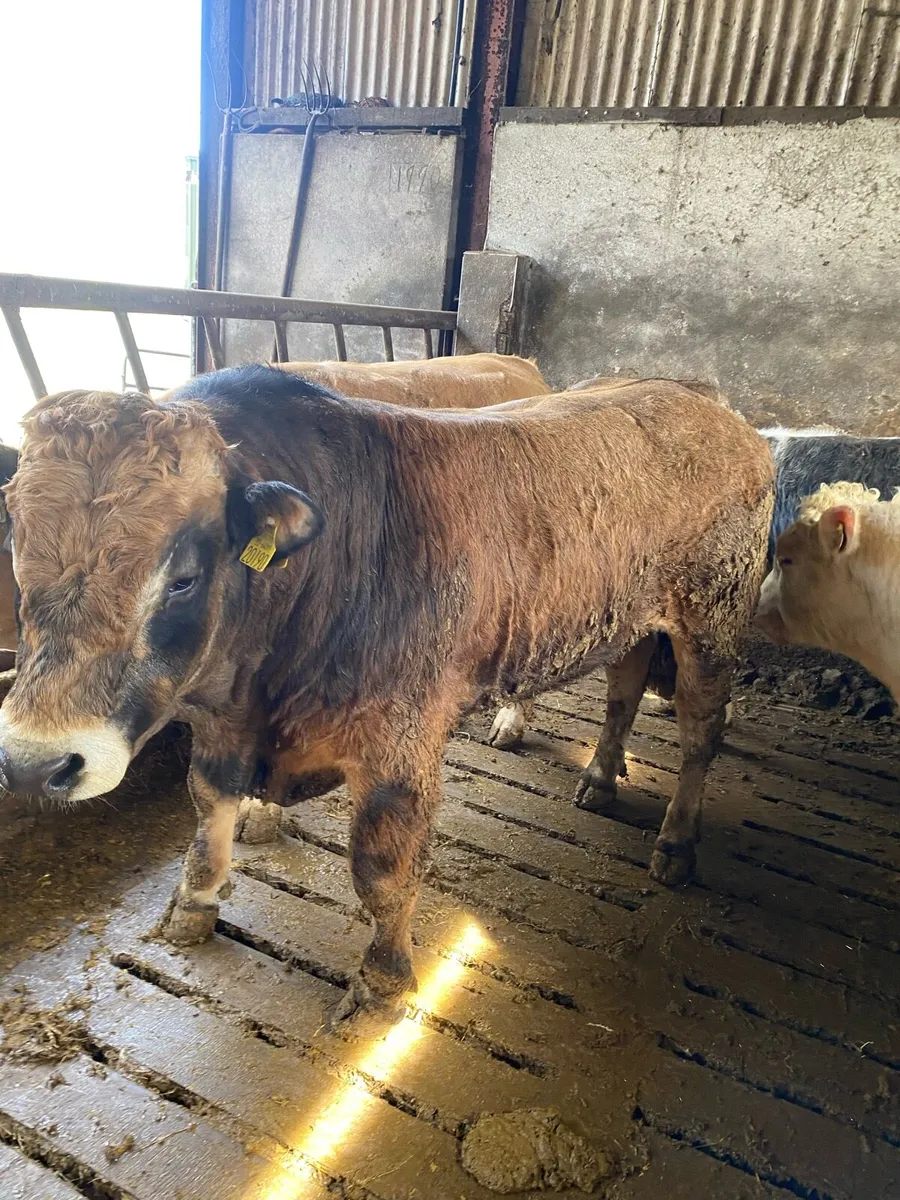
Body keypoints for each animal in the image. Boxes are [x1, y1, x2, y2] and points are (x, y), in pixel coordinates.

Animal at [0, 367, 772, 1019]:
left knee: (701, 733)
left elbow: (381, 868)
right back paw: (601, 777)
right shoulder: (222, 724)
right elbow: (207, 809)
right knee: (622, 692)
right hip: (632, 619)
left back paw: (676, 843)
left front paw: (384, 977)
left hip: (712, 620)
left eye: (183, 577)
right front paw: (193, 905)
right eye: (19, 555)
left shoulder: (400, 745)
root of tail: (704, 398)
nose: (36, 765)